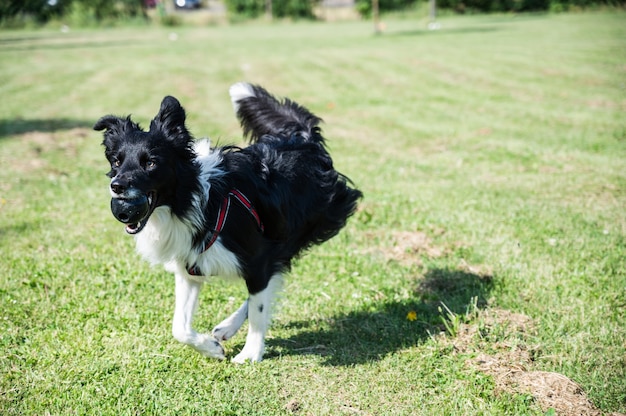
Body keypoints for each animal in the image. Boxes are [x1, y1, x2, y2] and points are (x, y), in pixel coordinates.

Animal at [95, 83, 364, 362]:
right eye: (116, 161)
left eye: (150, 163)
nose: (117, 186)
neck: (191, 201)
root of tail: (303, 137)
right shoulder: (190, 266)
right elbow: (179, 328)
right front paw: (211, 349)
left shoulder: (258, 256)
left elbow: (258, 309)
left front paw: (251, 354)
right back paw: (226, 328)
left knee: (266, 284)